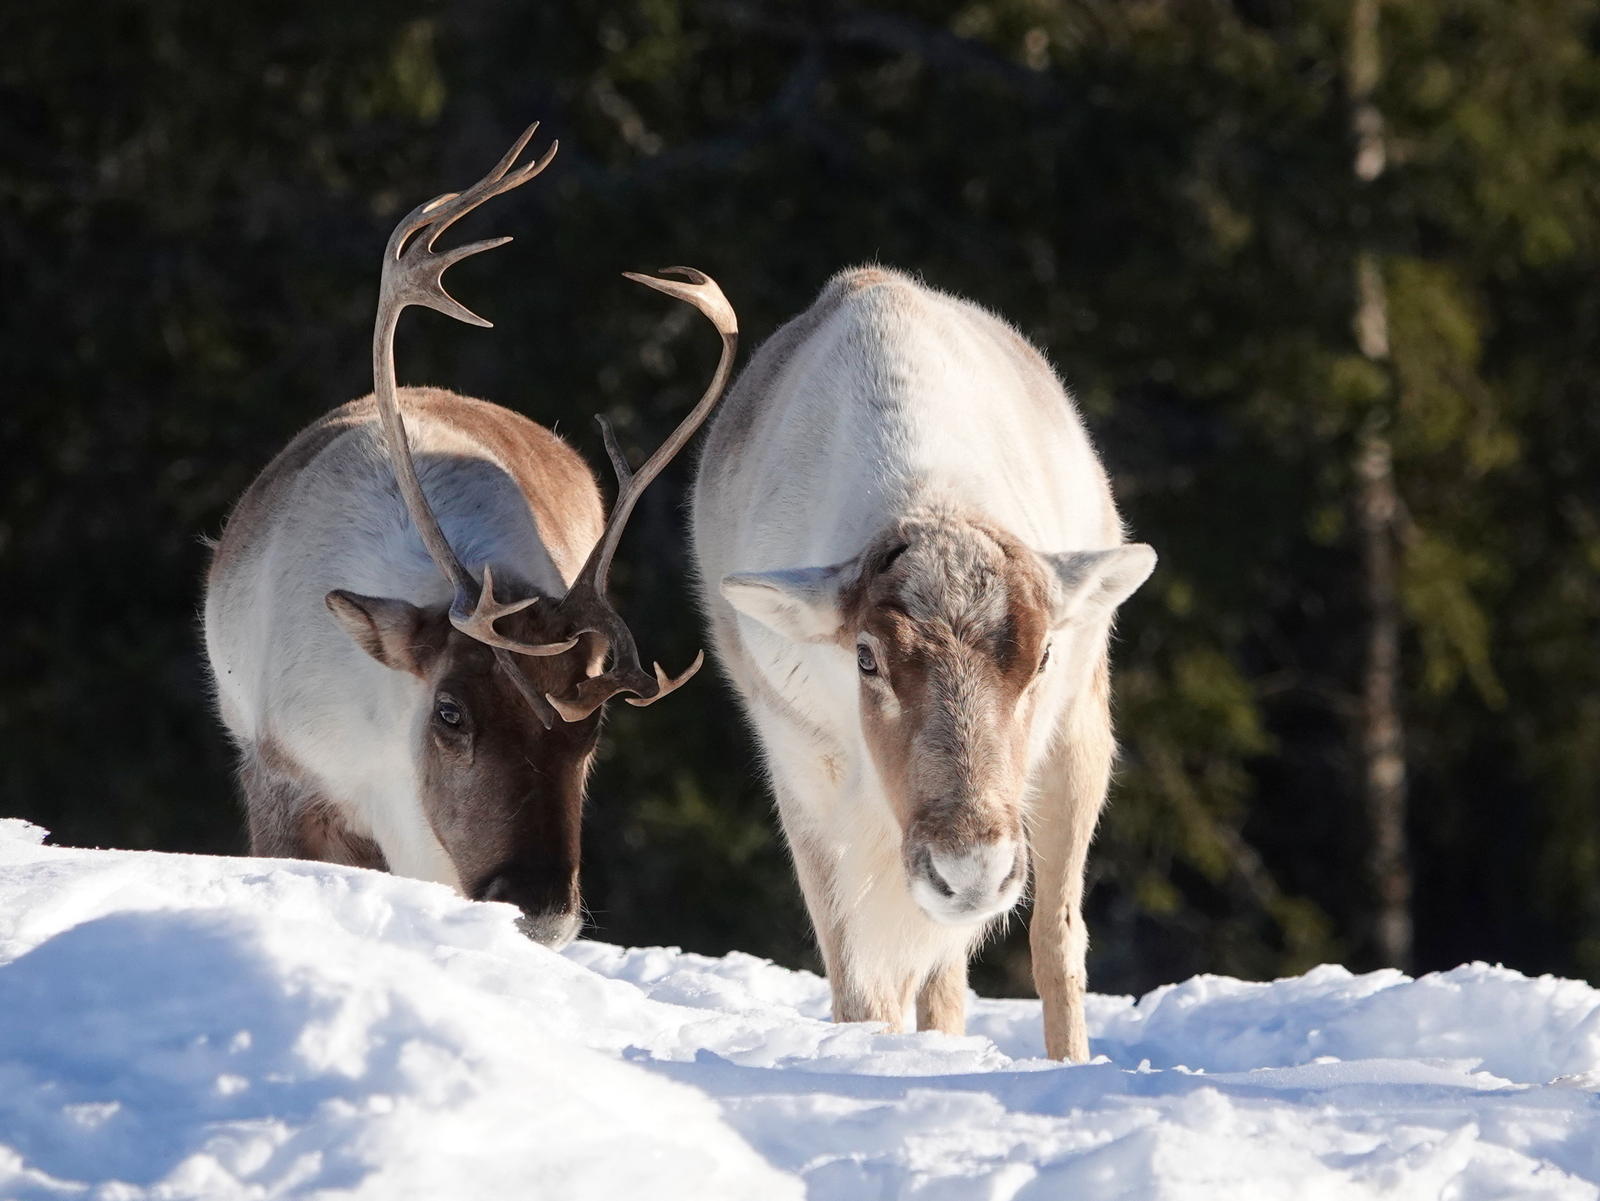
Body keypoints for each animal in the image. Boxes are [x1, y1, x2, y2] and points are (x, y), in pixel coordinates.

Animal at [691, 266, 1154, 1060]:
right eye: (866, 657)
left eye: (1043, 655)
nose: (969, 869)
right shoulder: (803, 770)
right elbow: (859, 986)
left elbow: (1044, 943)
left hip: (1076, 742)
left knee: (1054, 942)